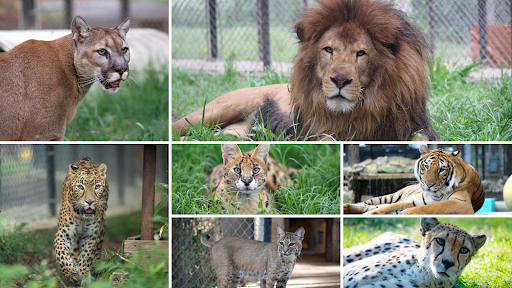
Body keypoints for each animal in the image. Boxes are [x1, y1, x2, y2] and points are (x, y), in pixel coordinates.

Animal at [53, 158, 108, 286]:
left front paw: (85, 276)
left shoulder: (92, 235)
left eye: (97, 186)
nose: (90, 201)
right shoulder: (64, 232)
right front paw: (71, 273)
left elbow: (87, 256)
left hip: (102, 228)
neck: (81, 217)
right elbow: (61, 253)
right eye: (80, 187)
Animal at [172, 0, 440, 141]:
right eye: (328, 49)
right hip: (215, 111)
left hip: (233, 132)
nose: (340, 80)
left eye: (361, 53)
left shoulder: (415, 127)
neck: (360, 113)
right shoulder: (316, 132)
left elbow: (422, 141)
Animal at [344, 144, 484, 214]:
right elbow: (388, 207)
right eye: (426, 166)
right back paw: (347, 207)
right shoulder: (415, 201)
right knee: (367, 203)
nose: (428, 185)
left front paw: (405, 213)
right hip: (391, 196)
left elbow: (432, 207)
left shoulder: (462, 204)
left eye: (441, 170)